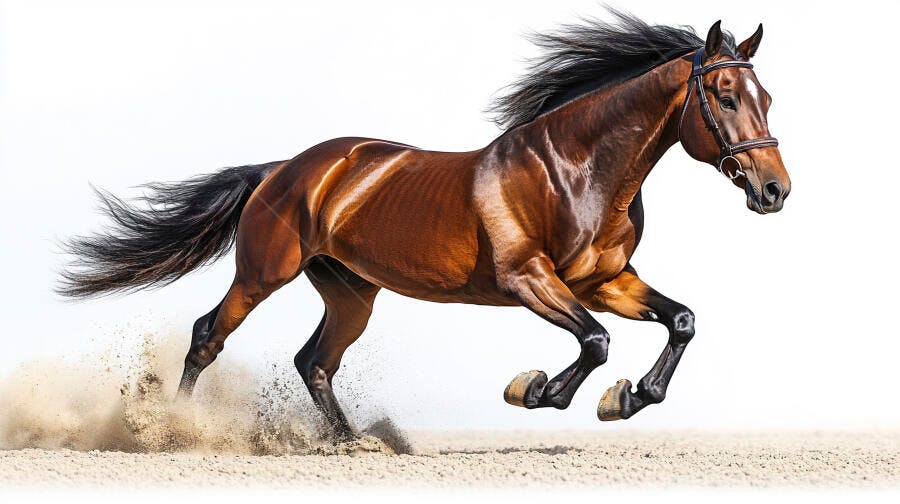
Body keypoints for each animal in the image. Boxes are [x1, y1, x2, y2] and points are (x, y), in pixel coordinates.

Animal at [59, 12, 791, 440]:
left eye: (767, 97)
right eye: (725, 96)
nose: (775, 190)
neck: (576, 171)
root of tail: (284, 169)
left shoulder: (607, 280)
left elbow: (680, 321)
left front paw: (627, 399)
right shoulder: (529, 279)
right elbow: (596, 342)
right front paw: (535, 391)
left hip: (351, 291)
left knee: (314, 360)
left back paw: (351, 443)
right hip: (265, 272)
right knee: (209, 335)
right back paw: (172, 428)